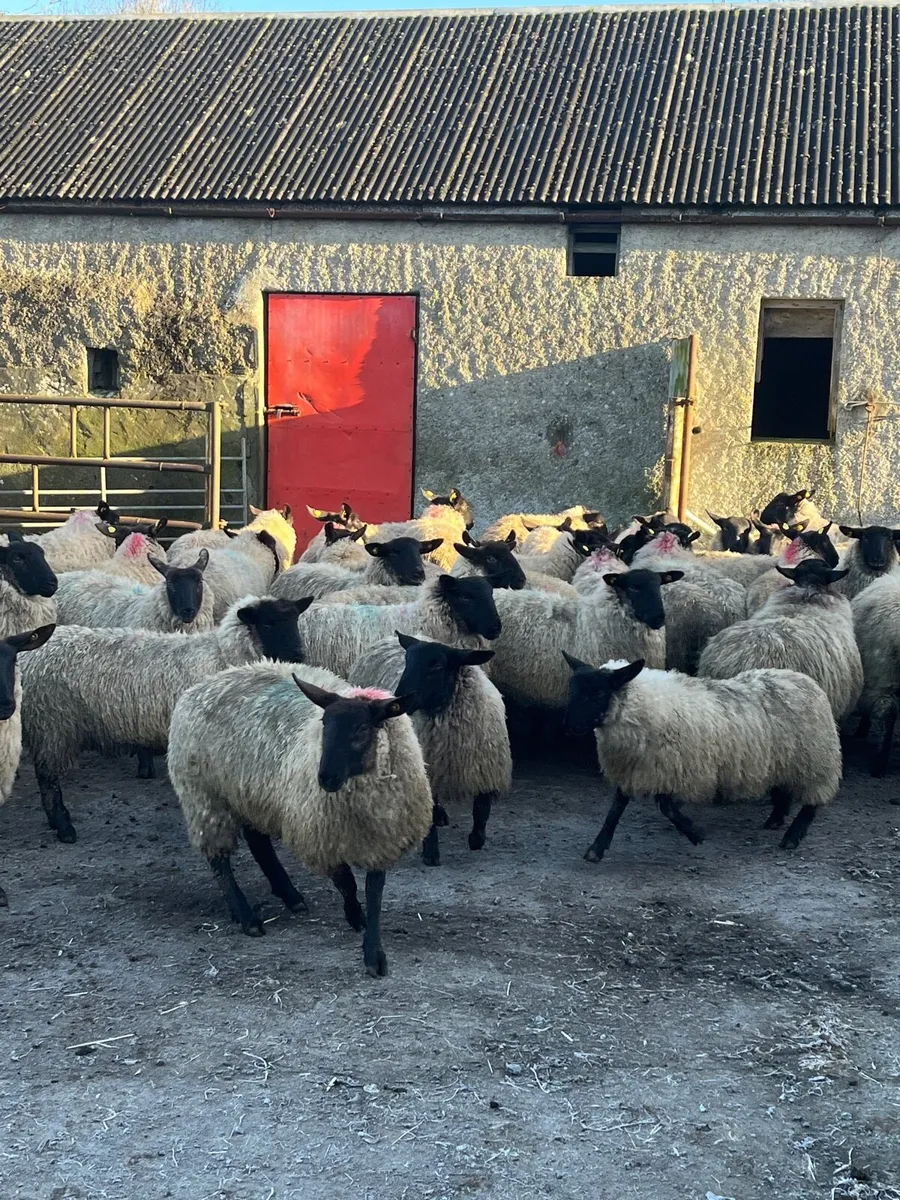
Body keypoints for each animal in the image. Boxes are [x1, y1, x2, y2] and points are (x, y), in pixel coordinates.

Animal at [20, 595, 312, 843]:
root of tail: (30, 656)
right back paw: (64, 827)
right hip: (51, 723)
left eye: (295, 620)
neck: (221, 654)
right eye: (267, 623)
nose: (299, 655)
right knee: (47, 778)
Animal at [168, 661, 432, 976]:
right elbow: (347, 882)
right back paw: (247, 917)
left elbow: (374, 892)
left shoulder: (382, 837)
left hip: (249, 793)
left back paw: (289, 896)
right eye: (324, 724)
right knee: (219, 860)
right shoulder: (320, 837)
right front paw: (354, 915)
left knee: (258, 842)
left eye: (362, 728)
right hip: (205, 795)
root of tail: (205, 684)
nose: (325, 778)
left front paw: (373, 950)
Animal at [349, 632, 509, 865]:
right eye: (407, 661)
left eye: (437, 666)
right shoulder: (428, 770)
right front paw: (431, 852)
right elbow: (430, 813)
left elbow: (481, 808)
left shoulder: (485, 767)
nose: (398, 701)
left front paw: (477, 839)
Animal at [563, 656, 841, 859]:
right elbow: (616, 809)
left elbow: (666, 807)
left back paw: (792, 836)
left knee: (813, 801)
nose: (569, 726)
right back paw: (775, 819)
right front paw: (597, 848)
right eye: (572, 691)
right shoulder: (636, 769)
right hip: (782, 759)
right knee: (782, 789)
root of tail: (802, 678)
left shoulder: (669, 767)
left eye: (599, 694)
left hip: (815, 759)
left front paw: (695, 833)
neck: (641, 707)